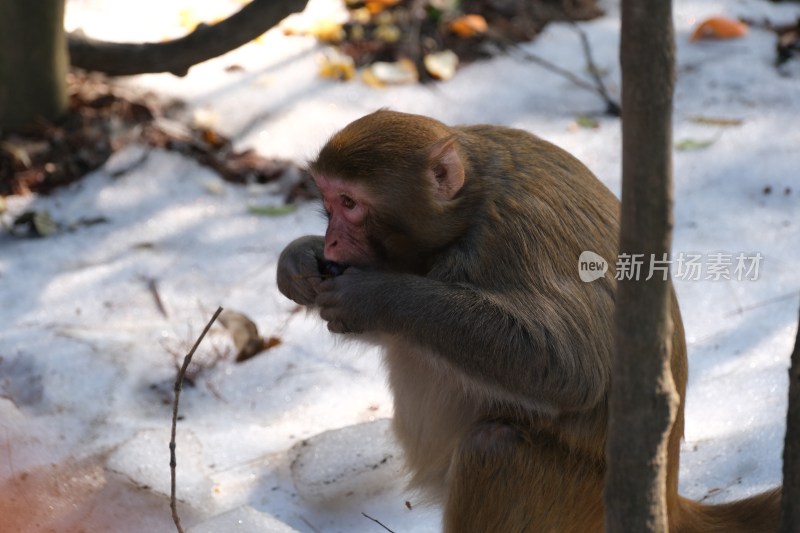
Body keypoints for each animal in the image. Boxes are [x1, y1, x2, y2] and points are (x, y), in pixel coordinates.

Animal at [276, 109, 780, 532]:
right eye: (328, 202)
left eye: (350, 203)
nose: (332, 242)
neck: (470, 205)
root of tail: (670, 500)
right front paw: (298, 260)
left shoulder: (513, 236)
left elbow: (569, 369)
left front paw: (373, 296)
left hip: (581, 501)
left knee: (495, 446)